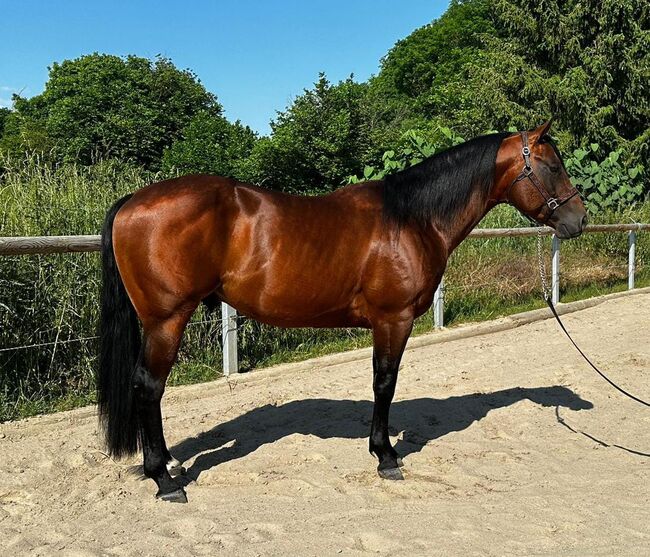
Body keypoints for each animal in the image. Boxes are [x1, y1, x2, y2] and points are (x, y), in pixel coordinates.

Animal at [97, 119, 588, 502]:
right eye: (553, 166)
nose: (579, 220)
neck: (412, 219)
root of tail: (131, 201)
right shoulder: (394, 319)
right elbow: (384, 383)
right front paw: (386, 455)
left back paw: (169, 466)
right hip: (166, 321)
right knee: (149, 387)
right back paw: (164, 480)